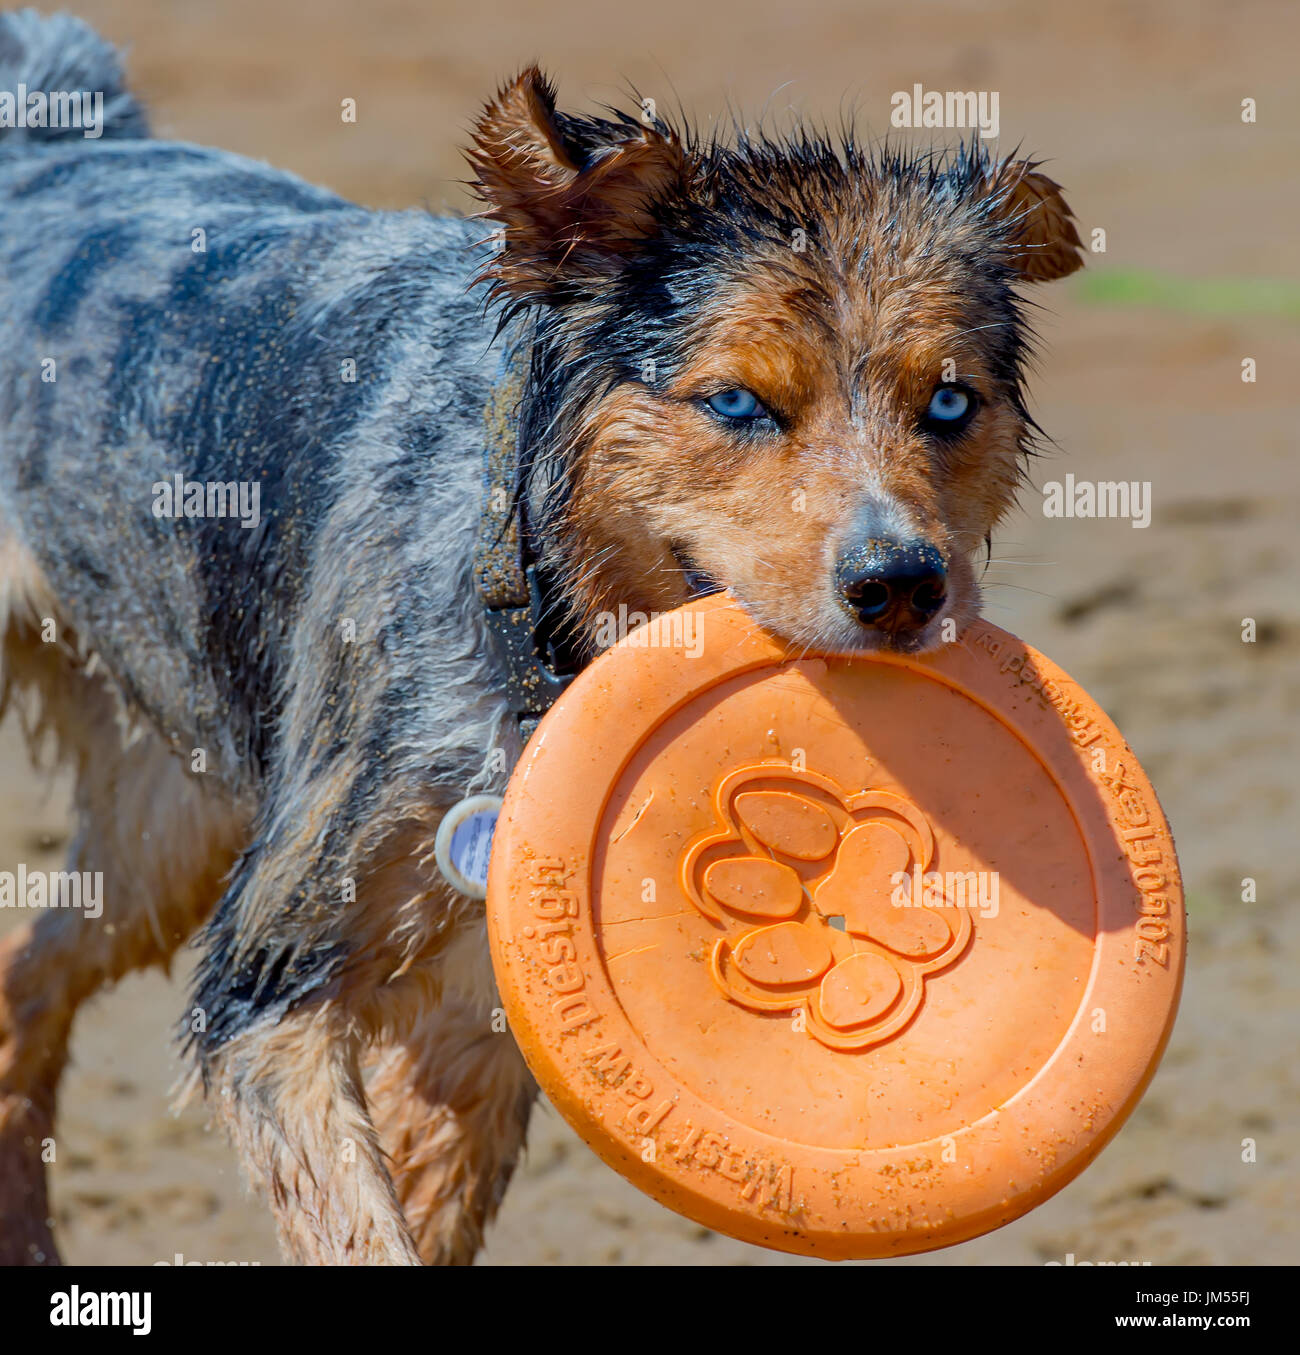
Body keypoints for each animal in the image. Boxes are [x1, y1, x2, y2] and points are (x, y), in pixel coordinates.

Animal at [0, 10, 1084, 1262]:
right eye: (738, 402)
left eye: (948, 402)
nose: (900, 584)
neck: (541, 625)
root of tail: (48, 143)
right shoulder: (270, 985)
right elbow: (360, 1220)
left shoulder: (478, 1022)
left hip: (161, 837)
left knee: (24, 972)